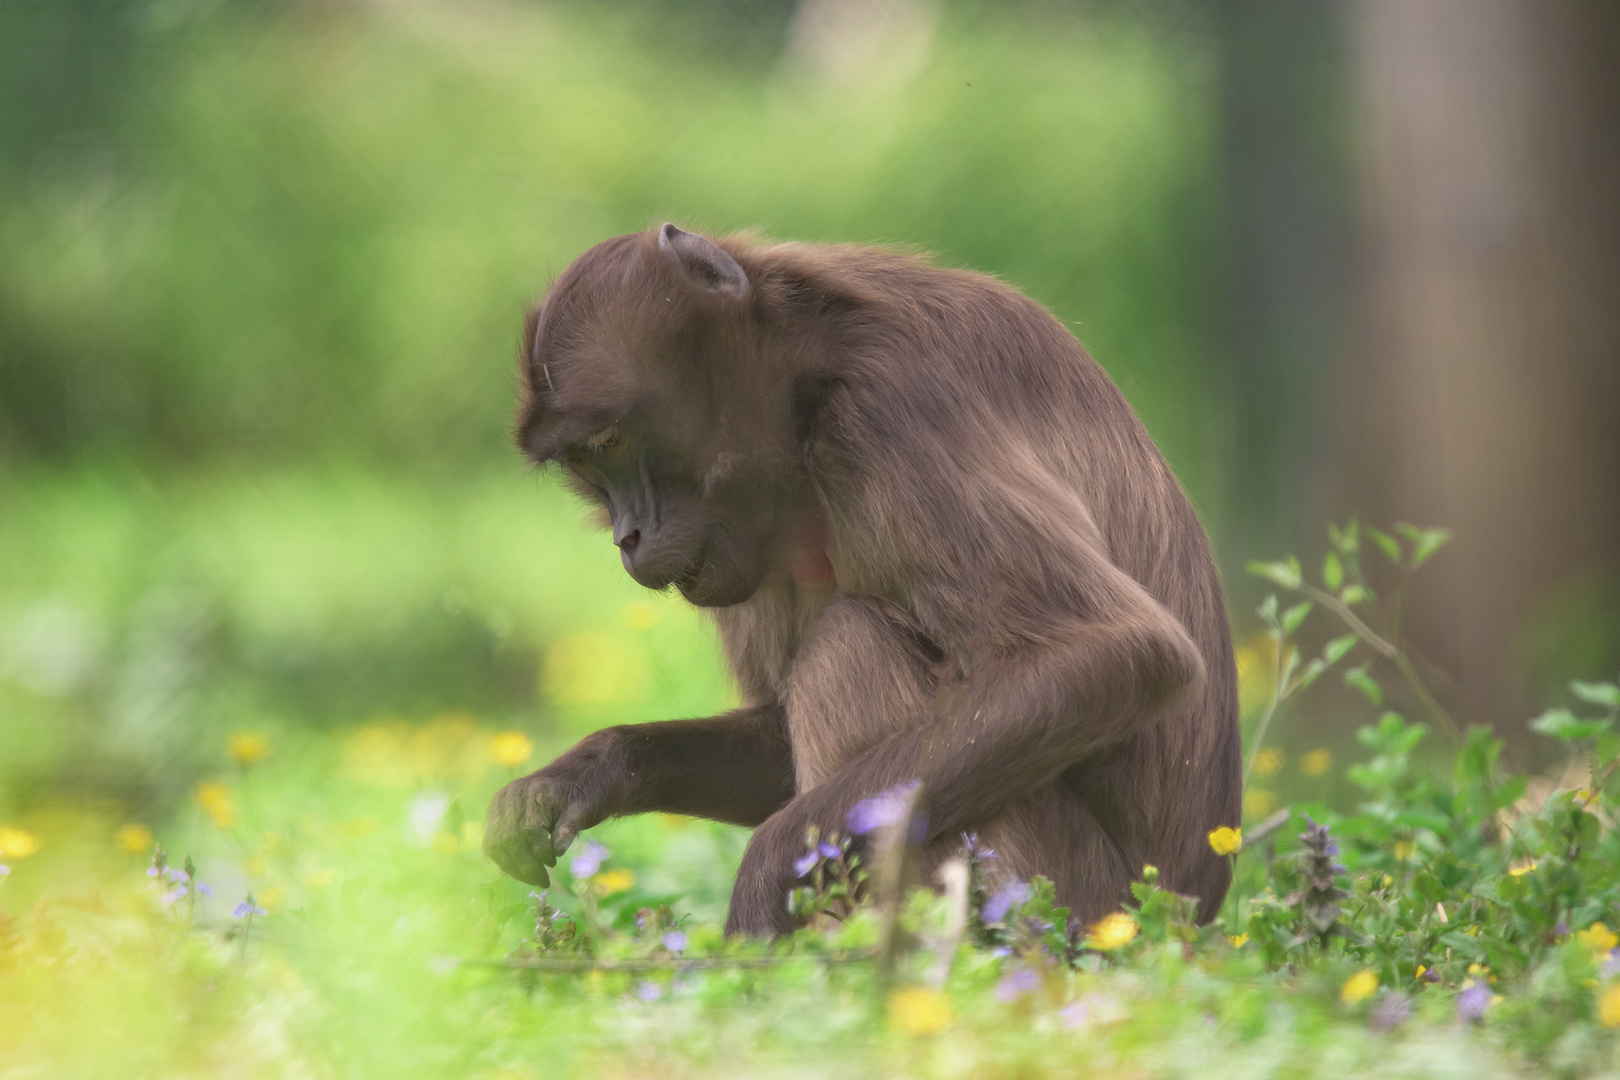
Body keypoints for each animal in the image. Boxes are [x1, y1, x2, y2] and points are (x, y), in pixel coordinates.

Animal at [479, 221, 1237, 939]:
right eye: (587, 465)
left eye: (609, 443)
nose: (627, 536)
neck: (812, 381)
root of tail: (1184, 918)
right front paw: (592, 772)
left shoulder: (892, 412)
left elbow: (1118, 652)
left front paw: (766, 881)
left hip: (1084, 900)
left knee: (849, 645)